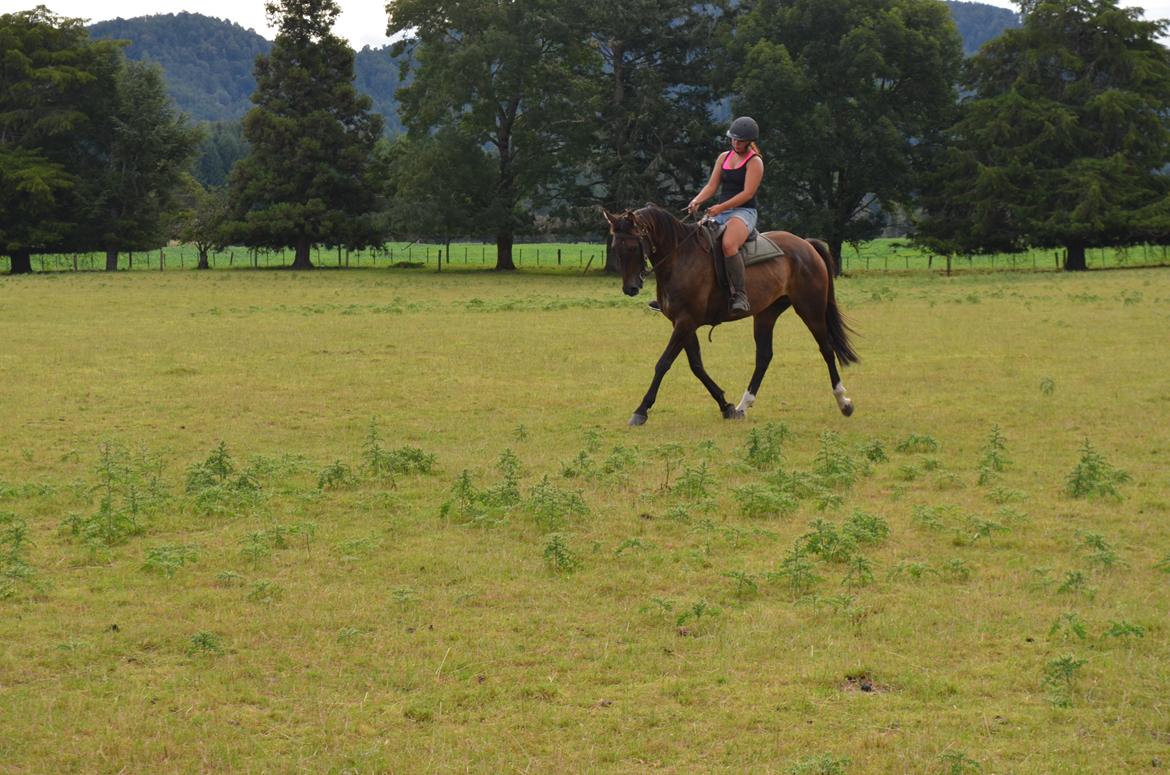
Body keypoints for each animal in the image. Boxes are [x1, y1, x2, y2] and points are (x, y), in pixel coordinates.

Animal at [603, 204, 859, 426]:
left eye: (633, 247)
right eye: (615, 248)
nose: (631, 288)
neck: (680, 257)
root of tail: (805, 244)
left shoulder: (685, 322)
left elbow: (663, 363)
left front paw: (641, 410)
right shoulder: (684, 323)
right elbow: (696, 365)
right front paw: (725, 406)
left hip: (810, 309)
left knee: (826, 349)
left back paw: (844, 402)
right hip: (766, 314)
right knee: (764, 356)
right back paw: (743, 406)